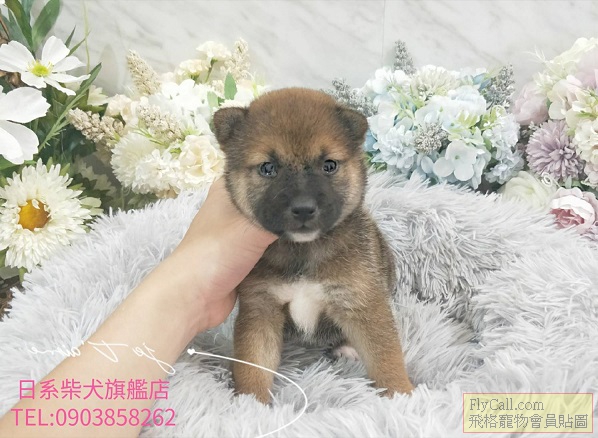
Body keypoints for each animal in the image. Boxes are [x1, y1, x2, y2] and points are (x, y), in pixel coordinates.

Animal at [213, 88, 414, 404]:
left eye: (329, 165)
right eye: (268, 168)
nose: (304, 208)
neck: (303, 252)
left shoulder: (362, 302)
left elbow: (387, 360)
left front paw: (403, 398)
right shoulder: (260, 309)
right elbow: (253, 366)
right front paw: (250, 404)